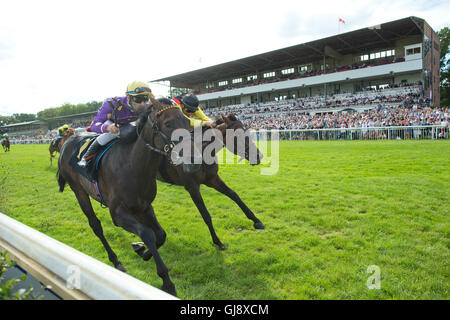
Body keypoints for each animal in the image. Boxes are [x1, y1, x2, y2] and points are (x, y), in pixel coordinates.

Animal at [56, 97, 197, 296]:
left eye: (187, 121)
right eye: (169, 123)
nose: (194, 159)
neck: (133, 165)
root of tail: (67, 142)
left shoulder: (143, 206)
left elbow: (160, 234)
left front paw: (143, 251)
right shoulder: (118, 213)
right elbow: (147, 233)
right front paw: (167, 282)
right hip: (79, 191)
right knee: (95, 225)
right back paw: (115, 260)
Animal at [132, 114, 264, 260]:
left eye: (247, 132)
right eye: (237, 135)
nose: (259, 156)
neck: (201, 151)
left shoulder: (212, 179)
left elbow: (234, 195)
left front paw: (256, 221)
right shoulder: (192, 187)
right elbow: (205, 214)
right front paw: (218, 242)